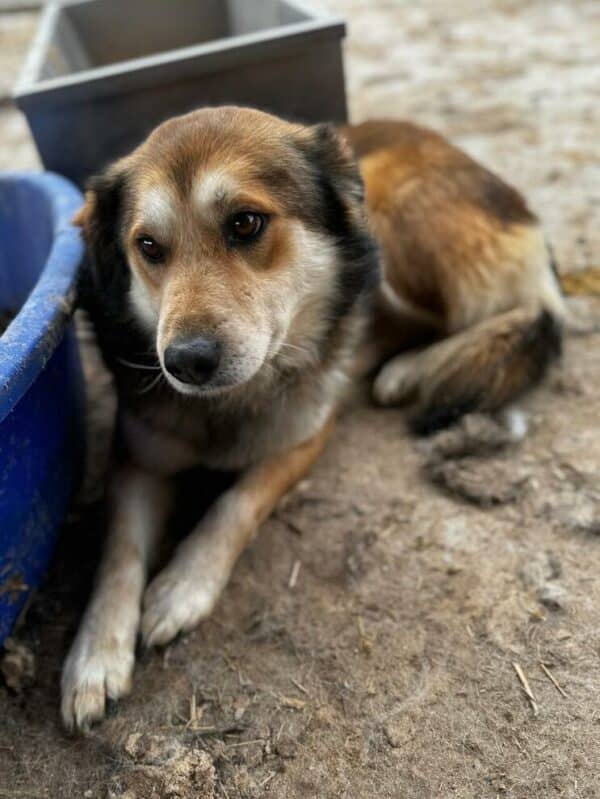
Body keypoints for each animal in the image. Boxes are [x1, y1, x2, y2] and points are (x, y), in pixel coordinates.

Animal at [63, 106, 564, 732]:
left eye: (245, 224)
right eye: (148, 246)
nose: (185, 362)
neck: (232, 404)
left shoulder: (306, 435)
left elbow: (237, 504)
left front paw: (182, 587)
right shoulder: (136, 456)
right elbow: (119, 552)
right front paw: (93, 657)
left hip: (392, 227)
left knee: (522, 313)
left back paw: (406, 370)